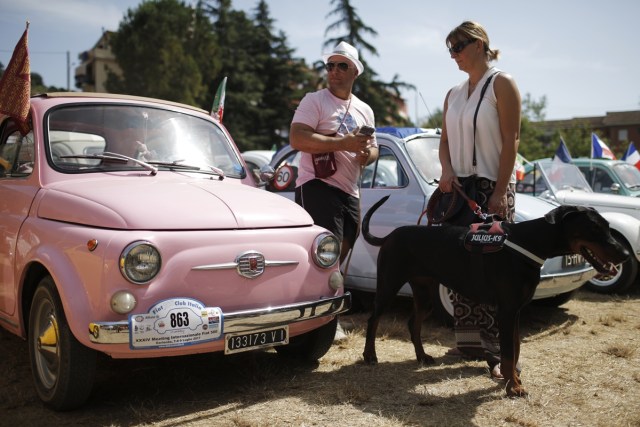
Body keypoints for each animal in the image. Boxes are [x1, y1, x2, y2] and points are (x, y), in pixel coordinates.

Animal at [362, 197, 628, 398]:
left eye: (607, 226)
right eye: (594, 228)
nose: (625, 253)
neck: (530, 242)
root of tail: (390, 236)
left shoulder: (516, 310)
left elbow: (515, 350)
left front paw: (514, 380)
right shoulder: (507, 311)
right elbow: (508, 353)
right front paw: (514, 388)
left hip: (424, 291)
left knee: (413, 323)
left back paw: (422, 357)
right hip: (388, 284)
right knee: (373, 319)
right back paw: (370, 356)